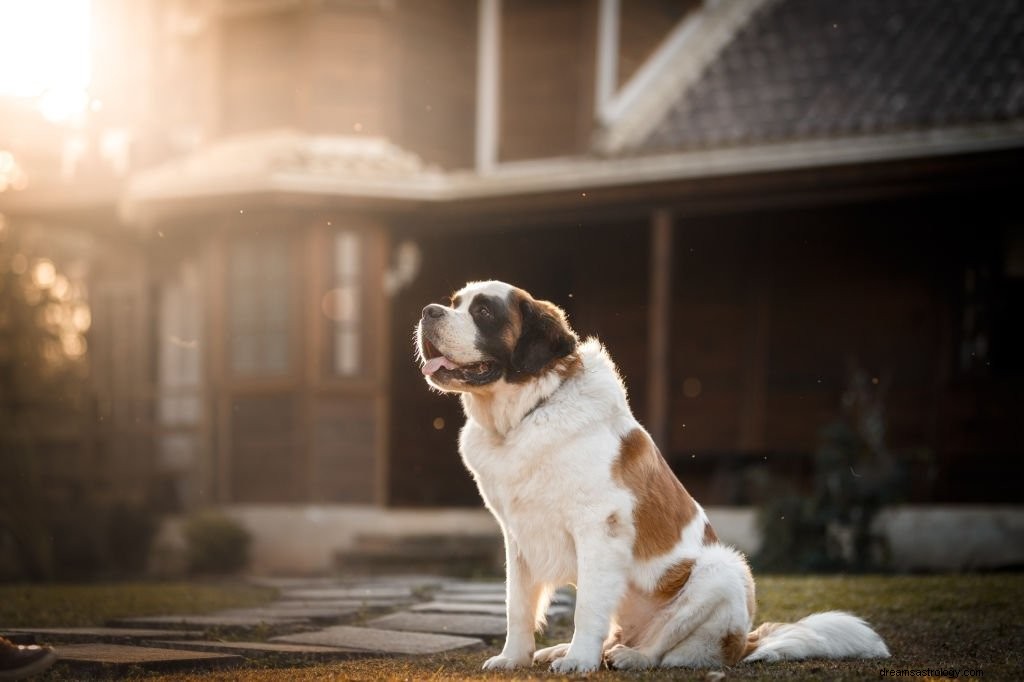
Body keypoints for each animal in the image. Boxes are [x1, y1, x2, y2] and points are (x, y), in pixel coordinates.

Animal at [415, 278, 888, 671]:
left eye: (484, 312)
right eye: (455, 303)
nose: (428, 311)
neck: (526, 415)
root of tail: (745, 641)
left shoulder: (600, 528)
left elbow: (587, 608)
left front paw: (579, 662)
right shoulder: (517, 536)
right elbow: (517, 604)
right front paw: (514, 658)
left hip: (723, 569)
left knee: (673, 650)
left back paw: (629, 657)